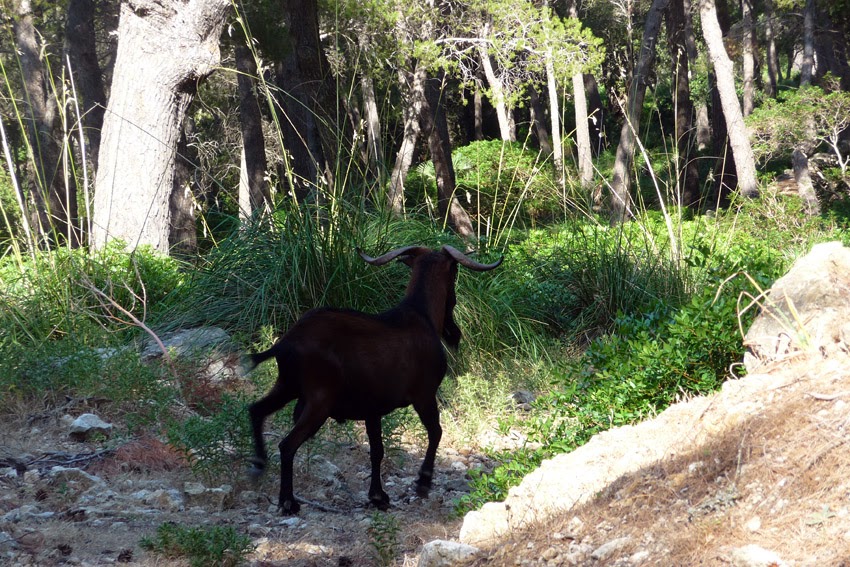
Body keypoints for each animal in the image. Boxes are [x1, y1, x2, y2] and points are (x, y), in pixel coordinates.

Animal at [242, 244, 500, 516]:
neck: (421, 315)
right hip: (318, 401)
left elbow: (377, 450)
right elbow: (435, 432)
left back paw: (258, 465)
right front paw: (422, 482)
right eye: (454, 276)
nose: (454, 334)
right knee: (287, 444)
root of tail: (285, 343)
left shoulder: (372, 409)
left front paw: (378, 496)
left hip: (287, 386)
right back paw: (288, 501)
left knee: (256, 410)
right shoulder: (425, 394)